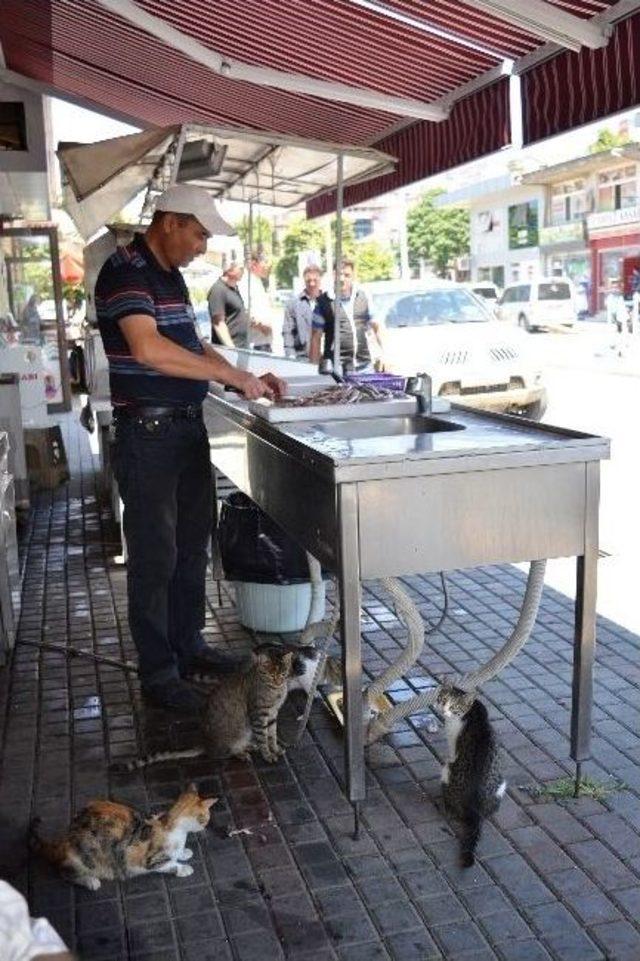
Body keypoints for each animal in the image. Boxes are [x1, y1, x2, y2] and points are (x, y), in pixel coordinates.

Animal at [28, 784, 215, 888]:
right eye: (206, 818)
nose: (207, 826)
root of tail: (64, 839)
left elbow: (176, 855)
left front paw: (183, 853)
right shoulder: (146, 860)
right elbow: (168, 864)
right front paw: (183, 868)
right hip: (85, 857)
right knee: (64, 871)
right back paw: (90, 881)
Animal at [112, 644, 296, 772]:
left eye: (283, 673)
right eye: (271, 675)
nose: (279, 681)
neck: (275, 691)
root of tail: (205, 743)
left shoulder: (272, 714)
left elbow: (272, 734)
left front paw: (275, 749)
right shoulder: (259, 714)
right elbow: (263, 737)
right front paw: (268, 754)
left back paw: (249, 746)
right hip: (234, 735)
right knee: (222, 754)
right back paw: (241, 752)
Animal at [436, 684, 504, 872]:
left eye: (454, 707)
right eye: (443, 699)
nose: (443, 710)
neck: (472, 711)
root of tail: (474, 808)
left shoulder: (453, 747)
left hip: (446, 770)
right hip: (502, 785)